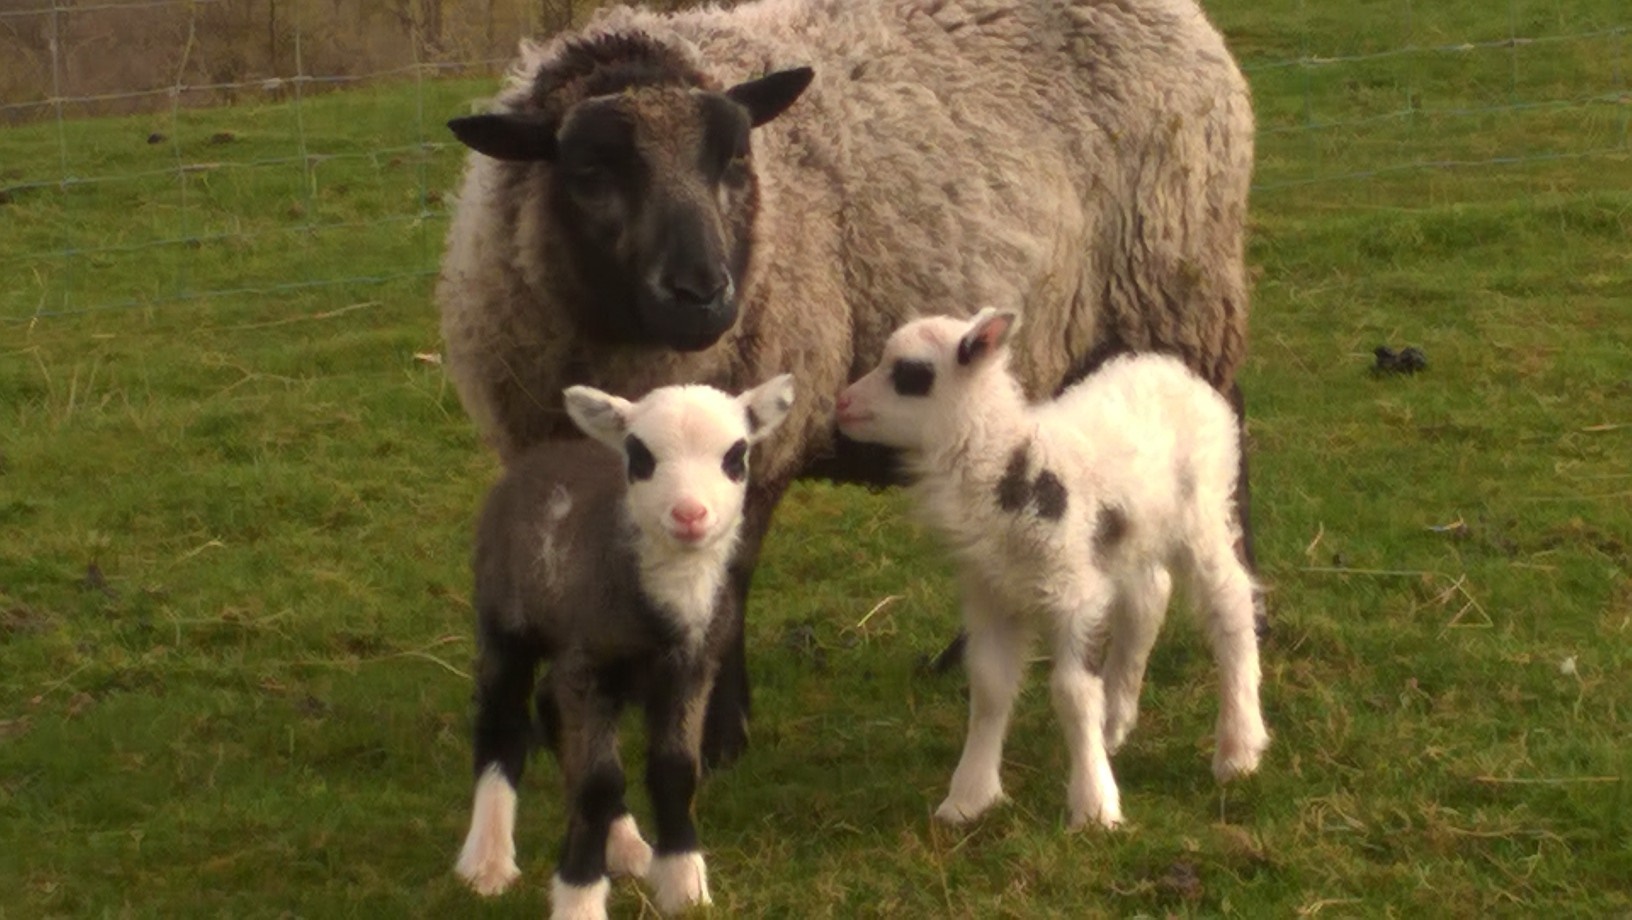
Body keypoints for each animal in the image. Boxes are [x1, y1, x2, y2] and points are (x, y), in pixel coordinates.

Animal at [434, 0, 1246, 769]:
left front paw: (720, 732)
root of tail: (1191, 22)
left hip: (1181, 301)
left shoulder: (757, 449)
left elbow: (729, 588)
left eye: (735, 160)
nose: (703, 295)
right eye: (589, 174)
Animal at [835, 308, 1266, 825]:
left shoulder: (1075, 593)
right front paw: (968, 798)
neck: (1010, 465)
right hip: (1130, 535)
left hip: (1202, 510)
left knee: (1230, 605)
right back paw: (1116, 720)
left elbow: (1072, 692)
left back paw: (1239, 747)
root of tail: (1169, 366)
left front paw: (1095, 807)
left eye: (911, 374)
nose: (842, 404)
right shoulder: (992, 594)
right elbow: (990, 687)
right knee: (1149, 597)